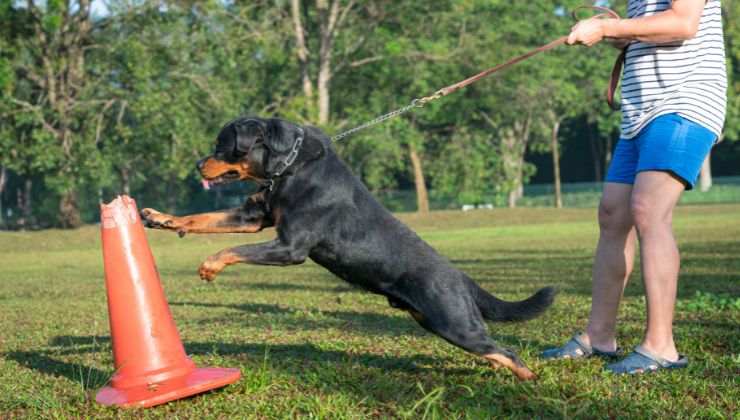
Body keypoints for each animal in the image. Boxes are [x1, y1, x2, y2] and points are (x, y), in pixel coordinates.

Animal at [140, 115, 556, 380]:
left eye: (222, 146)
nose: (198, 164)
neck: (289, 169)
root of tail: (462, 277)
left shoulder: (290, 247)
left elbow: (232, 250)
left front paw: (209, 265)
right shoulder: (253, 217)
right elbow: (201, 218)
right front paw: (160, 218)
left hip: (453, 322)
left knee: (508, 351)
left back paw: (530, 379)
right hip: (437, 321)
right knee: (494, 349)